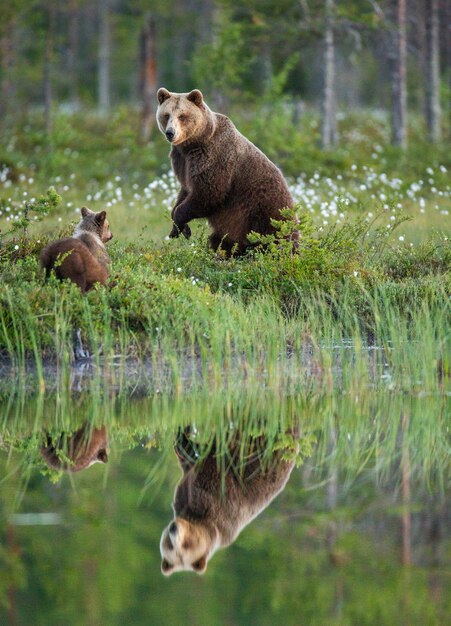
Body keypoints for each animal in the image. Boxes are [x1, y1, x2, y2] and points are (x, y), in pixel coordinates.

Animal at [155, 86, 296, 255]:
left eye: (182, 116)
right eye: (166, 115)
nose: (170, 132)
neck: (192, 145)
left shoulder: (213, 158)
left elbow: (208, 193)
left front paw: (179, 220)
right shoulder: (182, 163)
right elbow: (185, 190)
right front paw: (178, 228)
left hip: (264, 209)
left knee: (270, 234)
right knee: (221, 240)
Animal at [161, 426, 298, 572]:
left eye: (187, 544)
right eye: (170, 546)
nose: (173, 527)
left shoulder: (216, 493)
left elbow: (199, 454)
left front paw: (184, 432)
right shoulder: (185, 495)